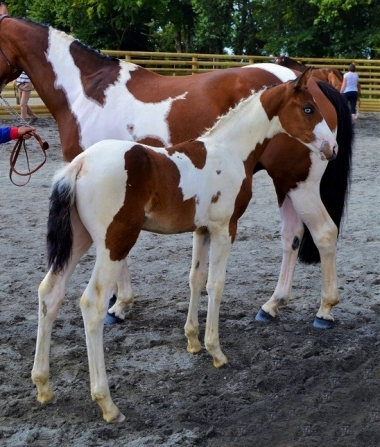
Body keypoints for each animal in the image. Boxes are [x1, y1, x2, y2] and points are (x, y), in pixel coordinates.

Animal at [0, 7, 354, 328]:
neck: (87, 93)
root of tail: (318, 86)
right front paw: (120, 302)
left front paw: (119, 305)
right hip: (286, 182)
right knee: (292, 235)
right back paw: (272, 305)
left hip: (299, 182)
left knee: (324, 233)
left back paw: (325, 311)